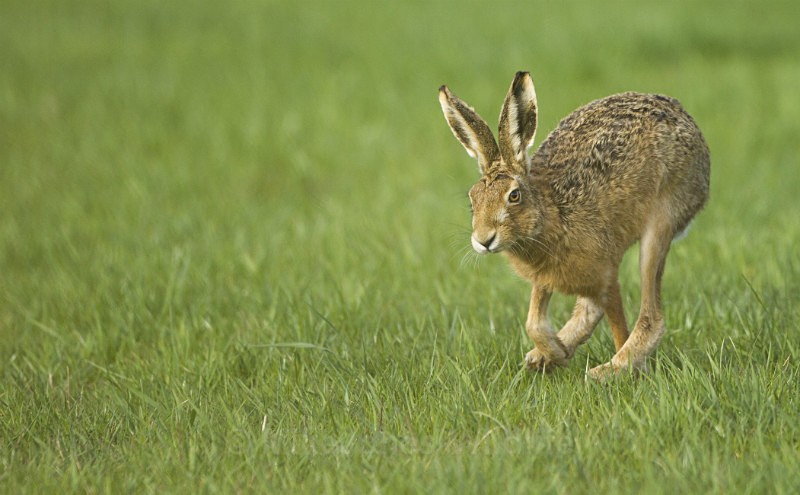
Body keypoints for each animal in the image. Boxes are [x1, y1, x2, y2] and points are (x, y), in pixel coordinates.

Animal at [438, 71, 710, 379]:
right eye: (472, 200)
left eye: (514, 195)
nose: (484, 240)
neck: (551, 212)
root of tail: (686, 120)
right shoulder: (544, 276)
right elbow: (533, 322)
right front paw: (554, 352)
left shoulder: (606, 276)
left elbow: (618, 325)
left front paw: (618, 373)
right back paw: (545, 356)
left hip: (661, 223)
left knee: (652, 314)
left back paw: (609, 369)